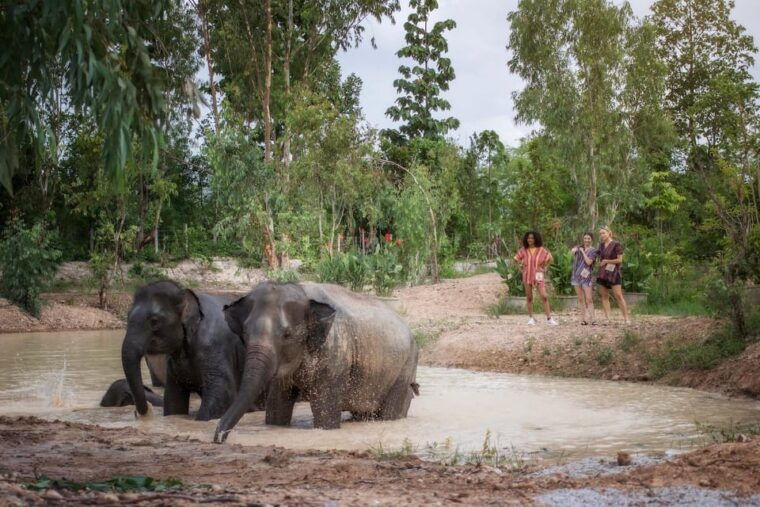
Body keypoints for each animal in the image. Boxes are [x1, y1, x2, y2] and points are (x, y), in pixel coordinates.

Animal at [122, 280, 248, 420]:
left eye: (154, 321)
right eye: (127, 317)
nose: (147, 411)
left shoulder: (215, 344)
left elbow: (222, 395)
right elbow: (174, 399)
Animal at [213, 281, 419, 443]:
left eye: (287, 334)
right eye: (245, 332)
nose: (218, 439)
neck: (301, 290)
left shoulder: (335, 353)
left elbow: (325, 411)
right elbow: (277, 404)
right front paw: (276, 425)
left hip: (405, 368)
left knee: (391, 411)